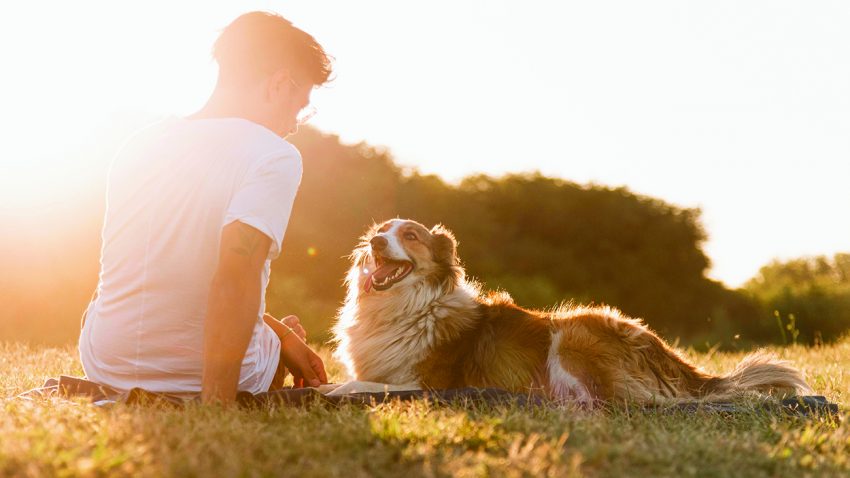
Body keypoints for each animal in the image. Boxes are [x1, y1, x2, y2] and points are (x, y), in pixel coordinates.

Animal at [328, 218, 812, 406]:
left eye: (409, 235)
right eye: (380, 231)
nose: (374, 242)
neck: (405, 306)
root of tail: (668, 356)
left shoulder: (428, 383)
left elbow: (361, 384)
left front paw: (334, 391)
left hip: (573, 332)